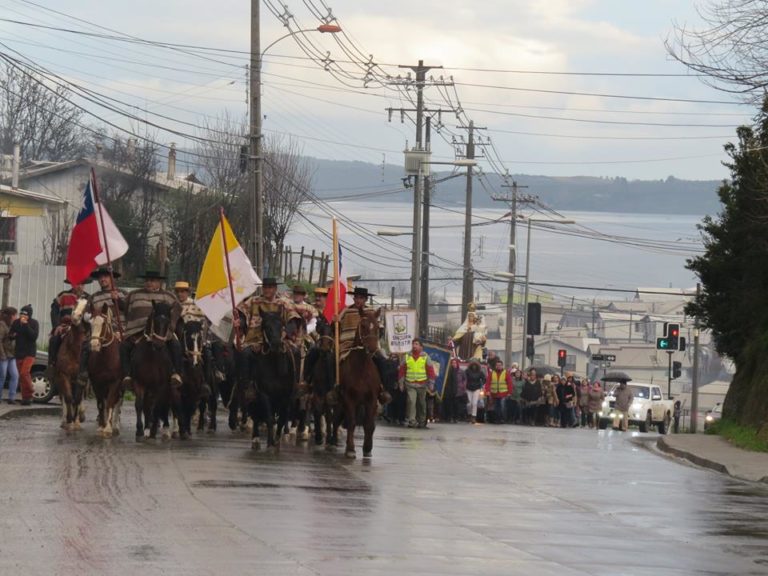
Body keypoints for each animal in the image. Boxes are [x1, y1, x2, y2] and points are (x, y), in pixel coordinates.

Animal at [55, 300, 89, 430]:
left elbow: (78, 398)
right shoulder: (64, 374)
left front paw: (76, 420)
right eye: (76, 302)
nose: (75, 317)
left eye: (87, 305)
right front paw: (69, 420)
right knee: (64, 397)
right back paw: (65, 420)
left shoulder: (82, 378)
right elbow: (69, 397)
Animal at [87, 304, 123, 434]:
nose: (94, 345)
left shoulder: (115, 382)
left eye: (103, 324)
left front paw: (108, 427)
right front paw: (102, 425)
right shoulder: (96, 383)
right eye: (90, 323)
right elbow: (101, 404)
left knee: (118, 402)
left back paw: (115, 424)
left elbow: (111, 403)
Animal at [135, 302, 178, 440]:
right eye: (156, 319)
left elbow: (157, 406)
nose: (158, 345)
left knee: (171, 405)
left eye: (168, 321)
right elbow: (140, 404)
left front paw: (153, 430)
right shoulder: (139, 382)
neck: (151, 356)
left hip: (171, 387)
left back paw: (172, 430)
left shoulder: (161, 384)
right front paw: (140, 430)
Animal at [249, 310, 304, 450]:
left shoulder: (285, 395)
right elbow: (269, 418)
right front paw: (270, 443)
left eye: (281, 326)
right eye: (266, 326)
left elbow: (281, 418)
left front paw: (277, 440)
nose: (276, 345)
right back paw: (256, 438)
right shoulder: (264, 393)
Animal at [338, 308, 382, 462]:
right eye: (363, 325)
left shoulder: (371, 399)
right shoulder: (348, 398)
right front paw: (350, 449)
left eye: (377, 327)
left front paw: (367, 448)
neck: (361, 370)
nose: (373, 348)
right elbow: (351, 422)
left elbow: (368, 424)